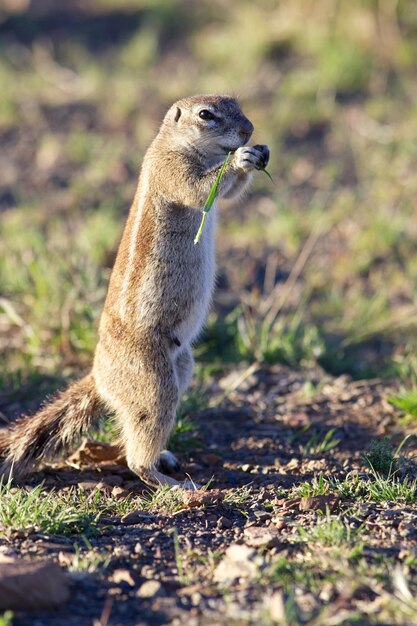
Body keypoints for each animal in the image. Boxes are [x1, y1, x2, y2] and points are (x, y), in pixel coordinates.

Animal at [0, 95, 268, 488]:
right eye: (206, 115)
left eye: (237, 103)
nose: (249, 131)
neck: (173, 142)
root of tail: (98, 377)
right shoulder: (171, 170)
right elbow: (201, 189)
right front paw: (242, 158)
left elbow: (229, 192)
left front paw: (260, 152)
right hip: (154, 382)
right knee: (137, 449)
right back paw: (169, 481)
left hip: (182, 366)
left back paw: (165, 458)